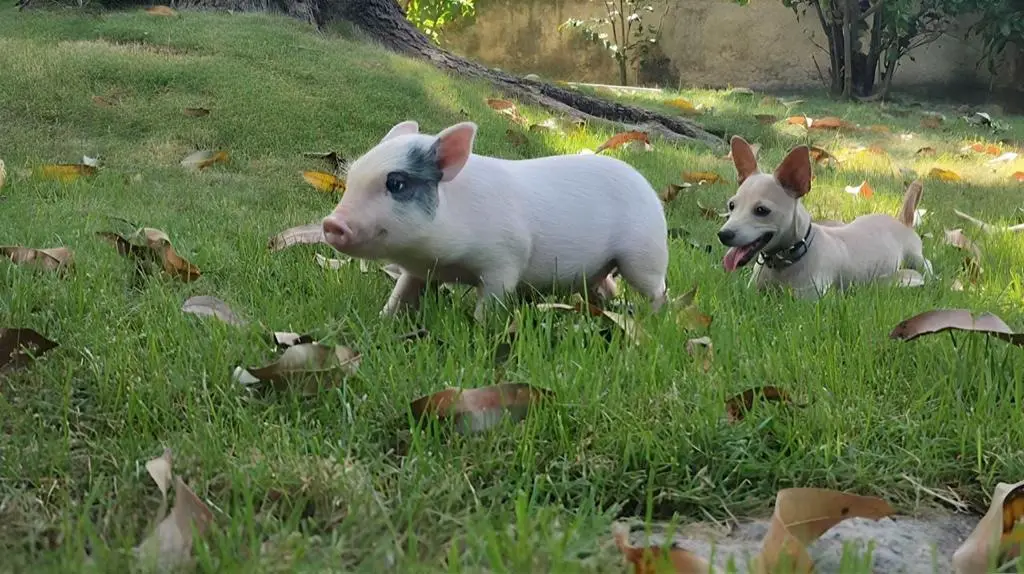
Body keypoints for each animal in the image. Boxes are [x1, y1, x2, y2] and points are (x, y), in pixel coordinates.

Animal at [716, 134, 933, 294]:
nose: (723, 235)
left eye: (761, 211)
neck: (784, 262)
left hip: (914, 258)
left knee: (926, 265)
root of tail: (903, 221)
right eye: (731, 206)